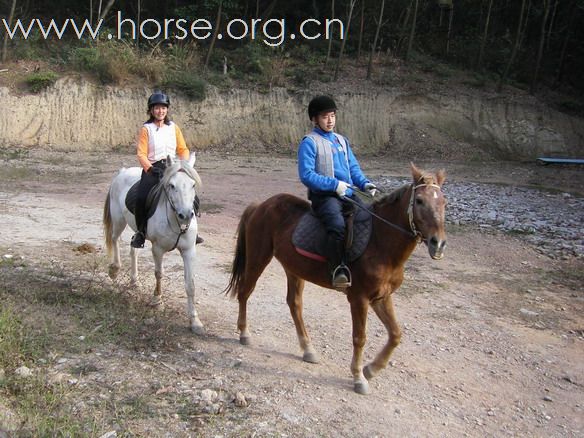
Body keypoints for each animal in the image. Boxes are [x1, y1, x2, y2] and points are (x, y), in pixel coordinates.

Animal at [102, 156, 205, 334]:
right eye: (172, 185)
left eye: (193, 184)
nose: (185, 215)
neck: (176, 221)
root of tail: (123, 172)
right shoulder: (158, 249)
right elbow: (159, 274)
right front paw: (157, 301)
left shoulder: (189, 251)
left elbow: (190, 284)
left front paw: (195, 321)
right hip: (118, 220)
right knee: (114, 239)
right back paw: (114, 269)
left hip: (135, 229)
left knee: (133, 250)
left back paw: (134, 281)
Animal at [224, 163, 448, 394]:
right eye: (419, 201)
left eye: (443, 202)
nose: (438, 243)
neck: (379, 241)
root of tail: (261, 205)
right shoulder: (359, 299)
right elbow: (360, 338)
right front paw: (359, 377)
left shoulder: (382, 297)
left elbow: (395, 334)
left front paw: (371, 369)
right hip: (258, 259)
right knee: (245, 292)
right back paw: (244, 333)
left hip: (294, 269)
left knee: (294, 305)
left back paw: (308, 349)